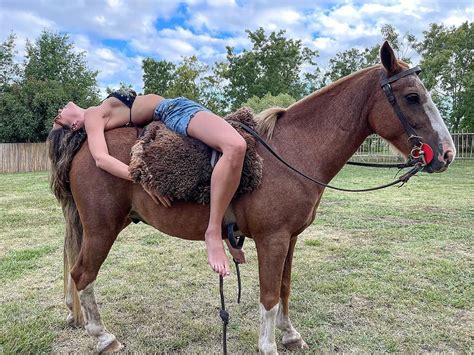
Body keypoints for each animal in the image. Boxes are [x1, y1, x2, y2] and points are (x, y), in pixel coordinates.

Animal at [48, 43, 456, 354]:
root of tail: (83, 141)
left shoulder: (290, 239)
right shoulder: (272, 239)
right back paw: (103, 336)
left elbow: (285, 289)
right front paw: (269, 345)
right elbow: (269, 295)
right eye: (413, 97)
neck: (292, 151)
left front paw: (290, 335)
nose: (447, 153)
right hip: (102, 229)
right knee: (82, 275)